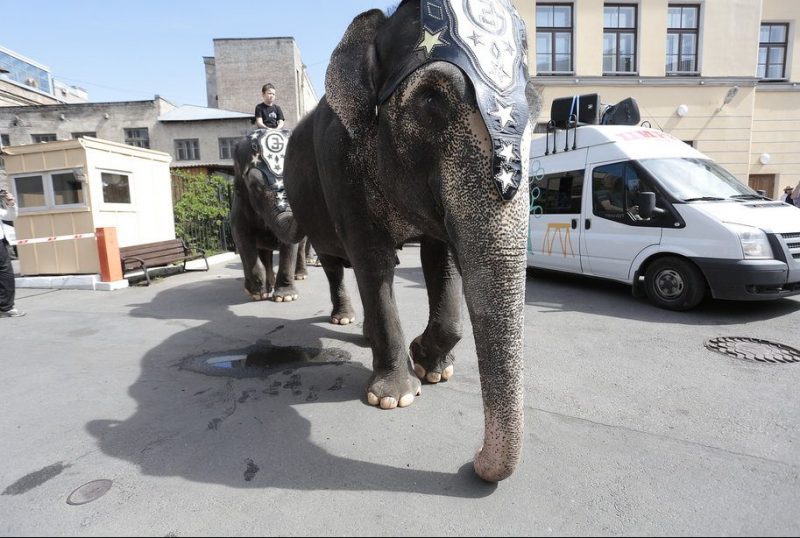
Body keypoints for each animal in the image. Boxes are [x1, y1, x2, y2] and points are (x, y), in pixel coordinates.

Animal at [231, 127, 310, 300]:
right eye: (255, 186)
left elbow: (289, 245)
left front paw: (286, 297)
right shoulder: (240, 203)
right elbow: (241, 236)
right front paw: (256, 294)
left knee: (299, 246)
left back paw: (300, 276)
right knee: (264, 253)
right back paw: (268, 287)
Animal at [276, 0, 536, 478]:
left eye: (537, 107)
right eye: (430, 98)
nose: (473, 462)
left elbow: (442, 259)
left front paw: (433, 367)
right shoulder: (341, 165)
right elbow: (372, 262)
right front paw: (394, 396)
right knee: (337, 264)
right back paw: (345, 321)